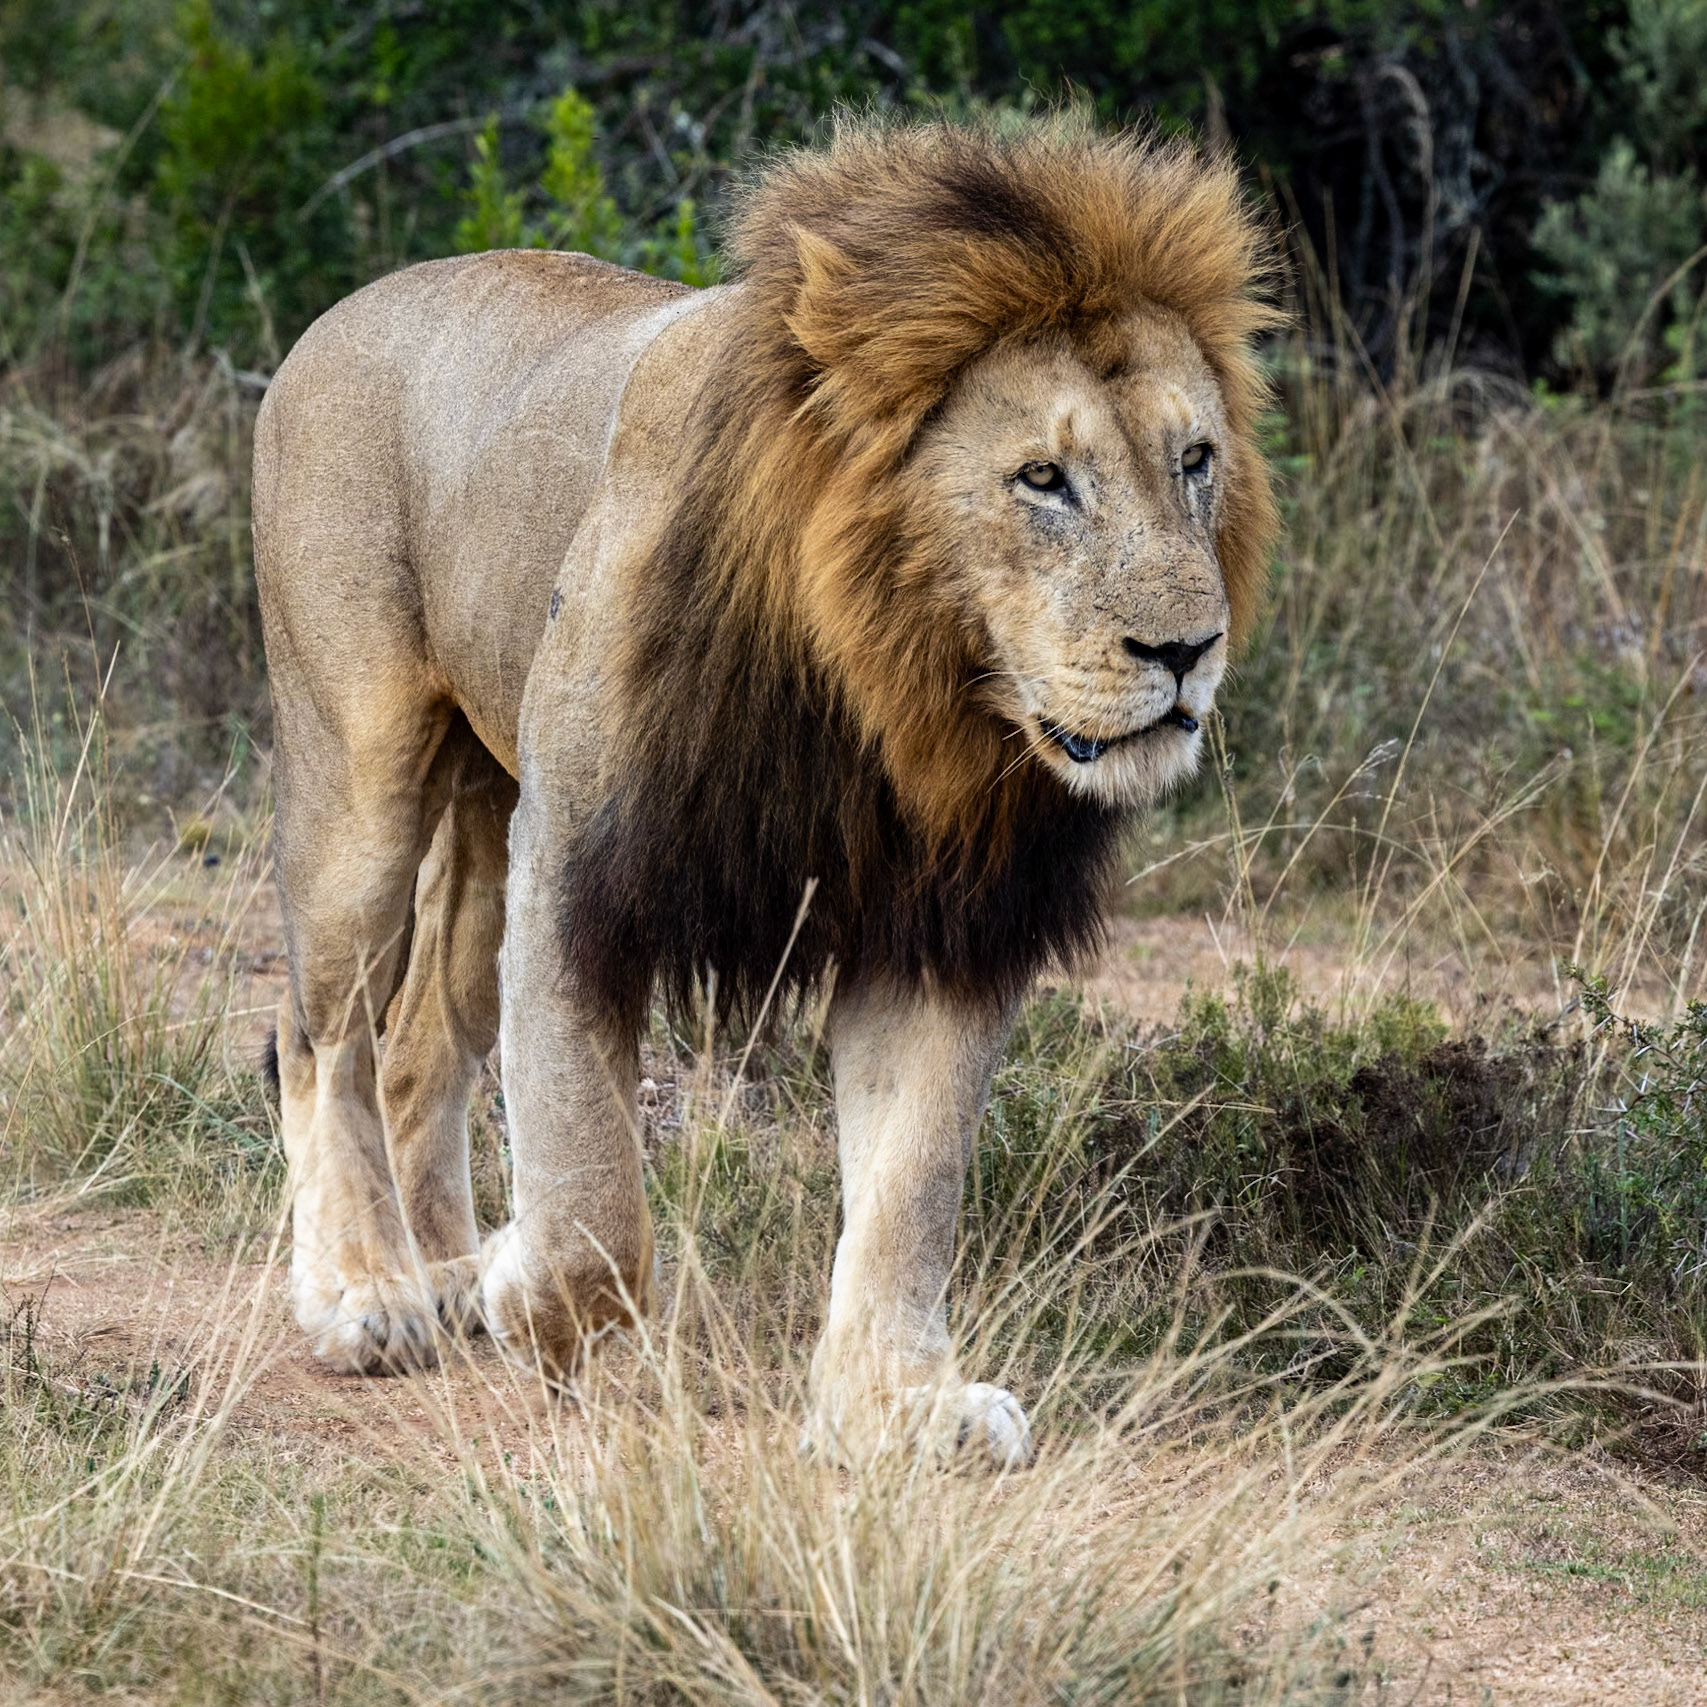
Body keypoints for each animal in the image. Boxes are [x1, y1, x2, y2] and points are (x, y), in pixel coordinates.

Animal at [251, 117, 1279, 1467]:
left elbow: (911, 1185)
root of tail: (340, 313)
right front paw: (535, 1295)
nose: (1185, 651)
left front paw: (897, 1406)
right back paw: (367, 1293)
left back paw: (441, 1269)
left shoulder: (941, 923)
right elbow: (590, 1184)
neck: (888, 686)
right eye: (1043, 478)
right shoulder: (576, 860)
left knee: (422, 1043)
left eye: (1195, 460)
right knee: (319, 1035)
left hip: (481, 795)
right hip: (361, 771)